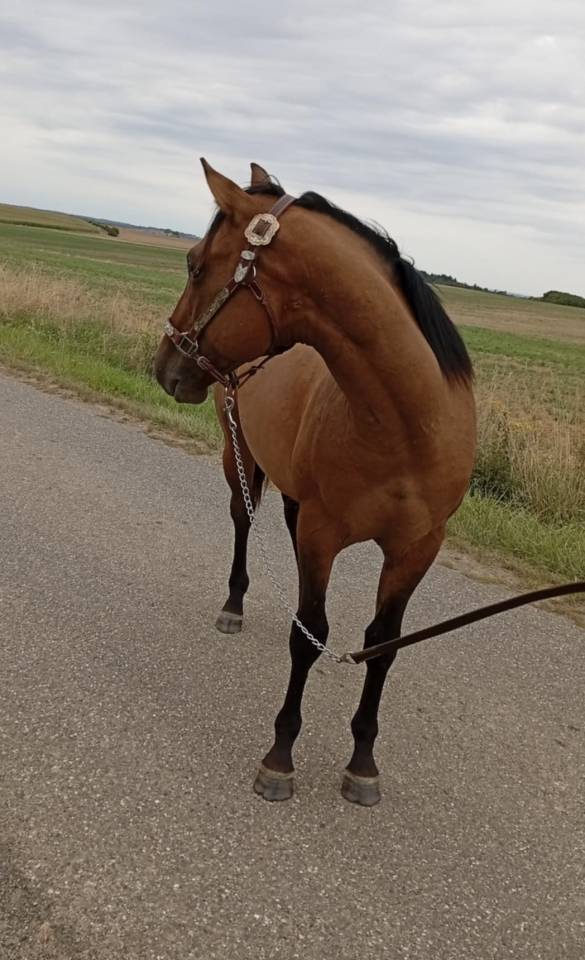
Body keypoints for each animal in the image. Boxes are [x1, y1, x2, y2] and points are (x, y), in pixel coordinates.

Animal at [154, 159, 476, 806]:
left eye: (196, 265)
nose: (163, 367)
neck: (406, 425)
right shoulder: (323, 536)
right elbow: (309, 638)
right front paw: (279, 757)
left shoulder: (416, 549)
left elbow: (383, 643)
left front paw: (363, 762)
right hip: (238, 459)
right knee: (243, 522)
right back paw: (234, 605)